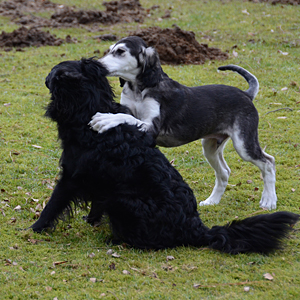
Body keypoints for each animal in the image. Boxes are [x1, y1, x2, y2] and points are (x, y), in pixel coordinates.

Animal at [90, 35, 278, 209]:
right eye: (110, 50)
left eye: (120, 51)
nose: (97, 65)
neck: (139, 89)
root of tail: (246, 94)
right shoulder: (129, 110)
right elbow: (126, 114)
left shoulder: (152, 128)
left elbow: (127, 118)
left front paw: (106, 119)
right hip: (210, 146)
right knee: (224, 172)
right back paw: (212, 201)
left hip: (243, 145)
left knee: (268, 163)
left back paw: (269, 201)